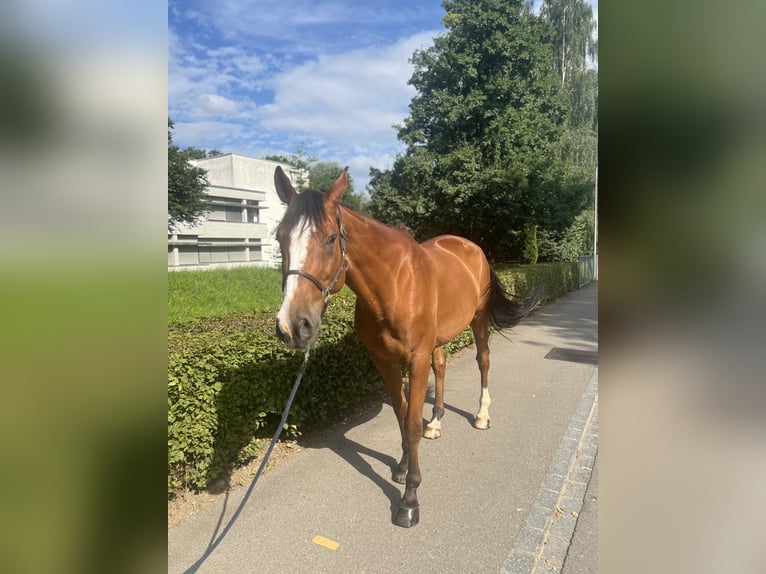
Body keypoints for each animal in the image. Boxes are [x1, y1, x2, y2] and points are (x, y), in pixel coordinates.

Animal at [274, 164, 540, 528]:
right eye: (279, 237)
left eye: (330, 238)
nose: (292, 326)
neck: (394, 284)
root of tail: (471, 247)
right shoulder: (384, 360)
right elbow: (401, 413)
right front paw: (401, 467)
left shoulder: (415, 359)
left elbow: (412, 422)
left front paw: (410, 498)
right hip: (438, 339)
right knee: (441, 364)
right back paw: (437, 422)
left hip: (479, 322)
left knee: (484, 361)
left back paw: (482, 415)